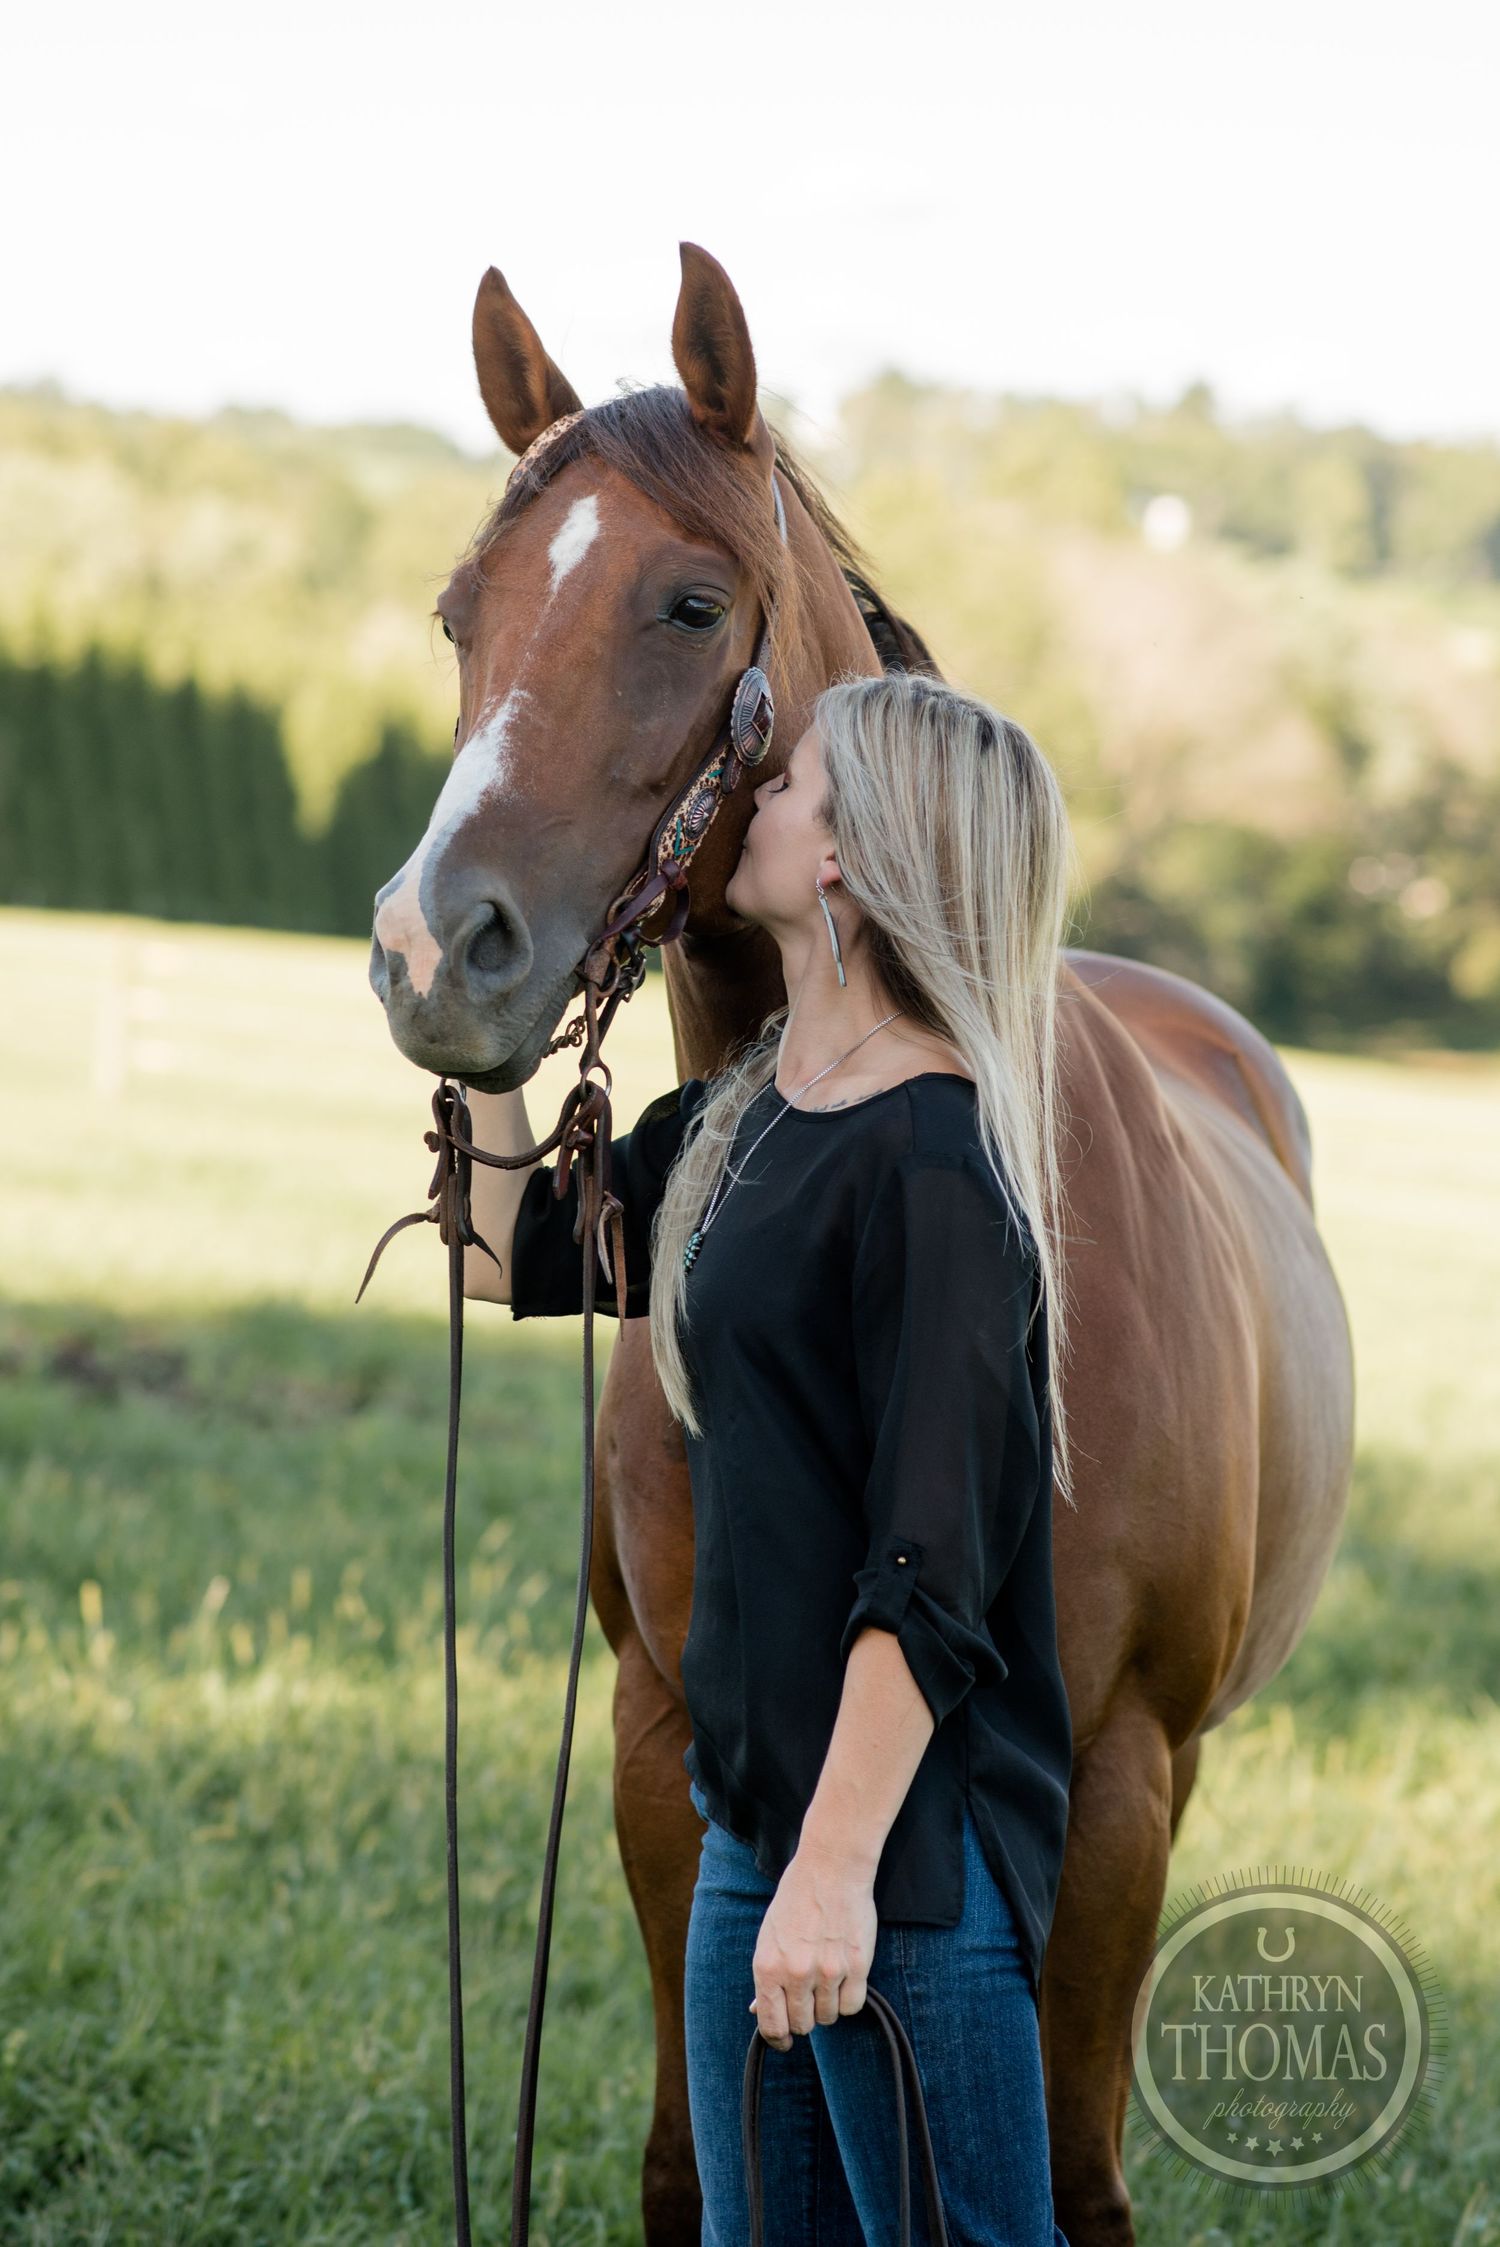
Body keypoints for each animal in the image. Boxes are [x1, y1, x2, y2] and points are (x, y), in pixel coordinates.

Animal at [368, 242, 1356, 2246]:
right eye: (458, 614)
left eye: (689, 604)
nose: (437, 952)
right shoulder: (666, 1749)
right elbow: (699, 2160)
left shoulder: (1114, 1794)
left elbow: (1072, 2178)